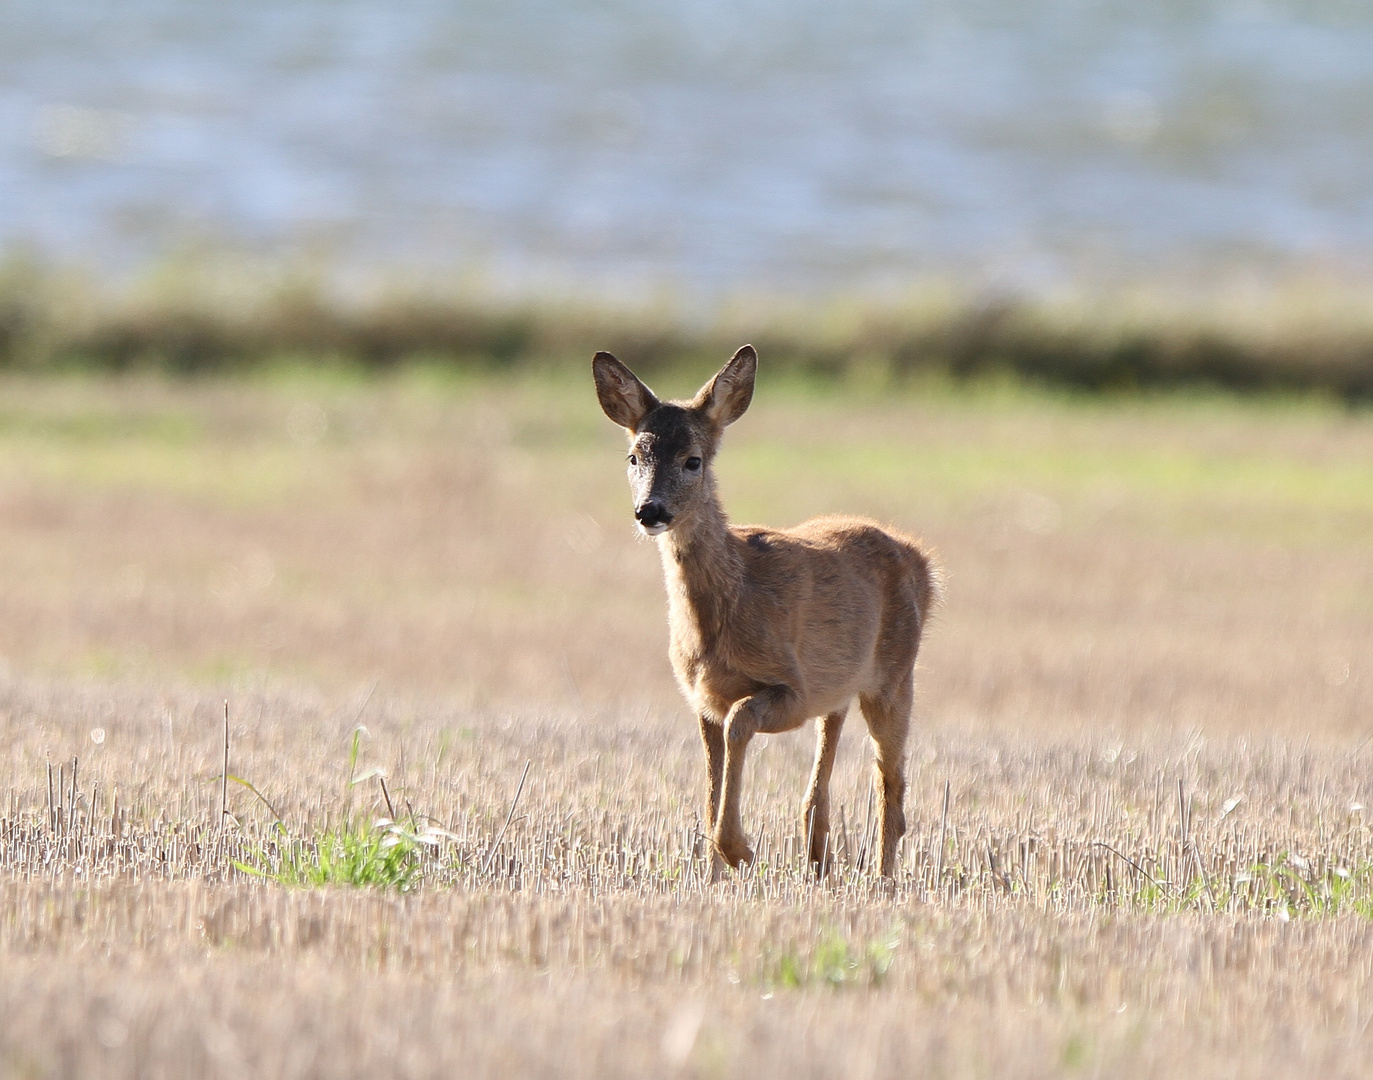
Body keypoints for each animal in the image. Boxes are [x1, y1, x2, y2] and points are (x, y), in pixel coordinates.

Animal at [595, 345, 939, 878]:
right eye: (634, 457)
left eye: (693, 460)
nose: (650, 511)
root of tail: (920, 559)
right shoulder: (702, 698)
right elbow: (711, 781)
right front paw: (714, 869)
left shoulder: (791, 686)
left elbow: (740, 722)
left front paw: (738, 849)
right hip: (840, 687)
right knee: (824, 781)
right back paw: (819, 864)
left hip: (894, 675)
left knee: (892, 782)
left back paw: (882, 879)